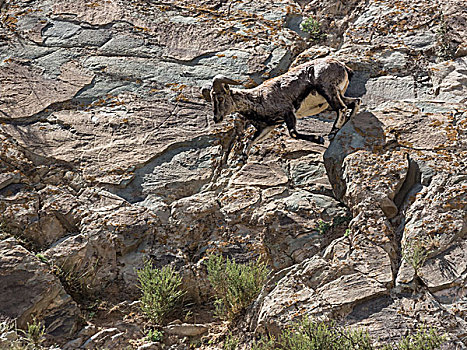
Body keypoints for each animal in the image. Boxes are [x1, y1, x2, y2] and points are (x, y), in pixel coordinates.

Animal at [201, 57, 362, 154]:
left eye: (220, 97)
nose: (216, 118)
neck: (258, 99)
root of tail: (343, 67)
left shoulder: (288, 112)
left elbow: (293, 133)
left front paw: (318, 138)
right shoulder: (269, 126)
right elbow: (250, 140)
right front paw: (243, 157)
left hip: (327, 90)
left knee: (341, 108)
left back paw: (333, 132)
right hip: (336, 95)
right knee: (355, 101)